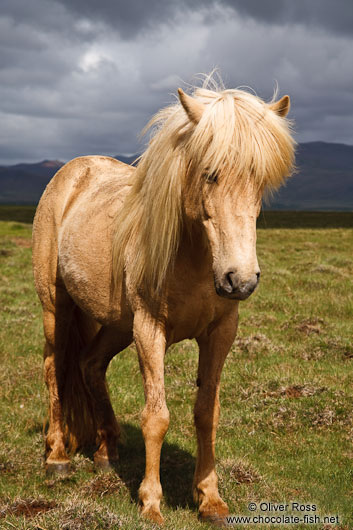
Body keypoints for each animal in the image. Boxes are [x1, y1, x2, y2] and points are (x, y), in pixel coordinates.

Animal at [31, 76, 294, 520]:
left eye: (260, 181)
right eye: (210, 174)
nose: (240, 279)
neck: (194, 257)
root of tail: (71, 171)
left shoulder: (220, 332)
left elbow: (207, 413)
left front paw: (209, 498)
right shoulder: (150, 330)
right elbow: (156, 416)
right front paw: (151, 503)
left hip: (117, 326)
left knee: (90, 365)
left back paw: (106, 450)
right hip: (58, 309)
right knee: (55, 367)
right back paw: (57, 457)